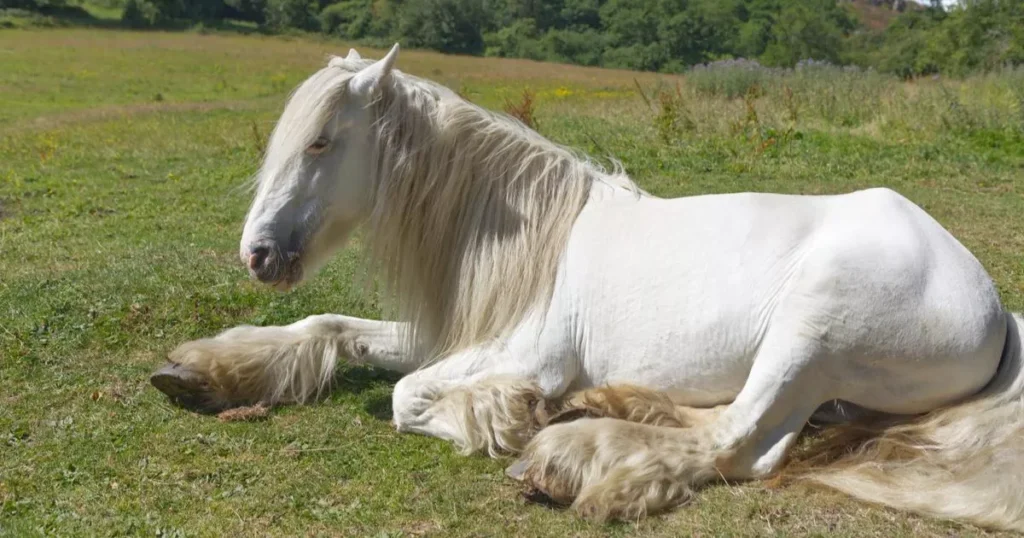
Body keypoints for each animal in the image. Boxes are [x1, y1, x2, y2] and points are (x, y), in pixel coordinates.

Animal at [149, 45, 1024, 528]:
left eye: (323, 141)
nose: (257, 254)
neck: (532, 242)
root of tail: (992, 304)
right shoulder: (450, 336)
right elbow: (326, 327)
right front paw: (204, 370)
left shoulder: (520, 353)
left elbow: (406, 399)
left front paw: (507, 415)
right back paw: (604, 408)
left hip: (812, 331)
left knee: (737, 440)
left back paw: (570, 453)